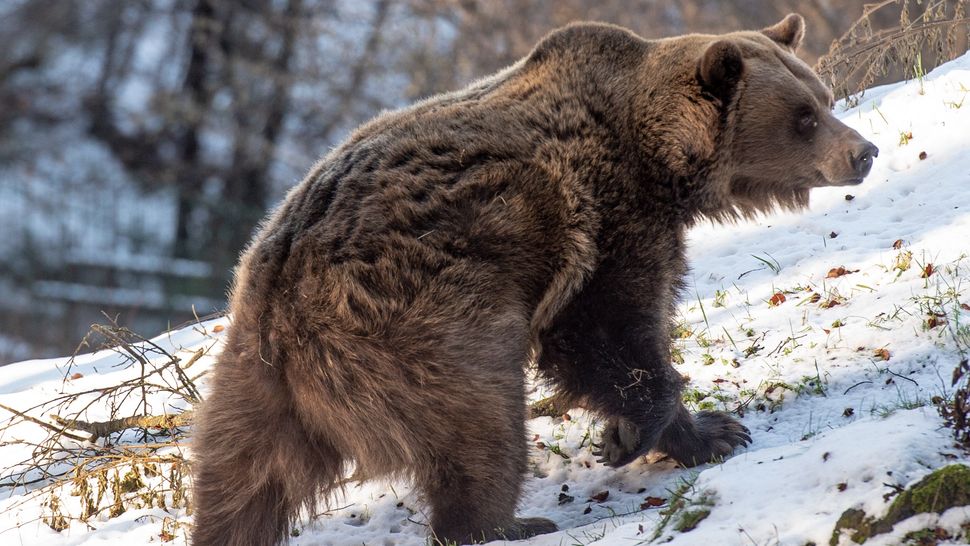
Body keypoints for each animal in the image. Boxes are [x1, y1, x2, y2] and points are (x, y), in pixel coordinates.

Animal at [189, 13, 876, 544]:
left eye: (822, 98)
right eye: (804, 117)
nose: (863, 151)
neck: (661, 163)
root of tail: (281, 301)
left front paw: (712, 431)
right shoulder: (605, 222)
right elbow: (610, 333)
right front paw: (638, 435)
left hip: (251, 379)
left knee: (239, 477)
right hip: (415, 324)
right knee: (481, 423)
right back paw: (504, 523)